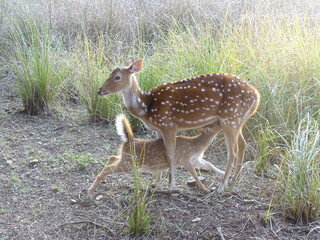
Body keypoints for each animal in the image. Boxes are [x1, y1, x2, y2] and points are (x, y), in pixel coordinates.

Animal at [87, 113, 222, 194]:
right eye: (216, 123)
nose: (222, 119)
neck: (196, 145)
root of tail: (128, 140)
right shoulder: (184, 158)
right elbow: (195, 174)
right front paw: (205, 189)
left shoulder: (195, 158)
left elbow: (210, 165)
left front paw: (223, 173)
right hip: (129, 163)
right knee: (109, 167)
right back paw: (90, 189)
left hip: (125, 158)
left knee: (112, 157)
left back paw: (102, 181)